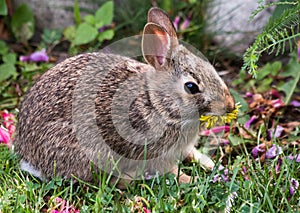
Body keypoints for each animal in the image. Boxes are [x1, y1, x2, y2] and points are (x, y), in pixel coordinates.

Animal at [14, 7, 236, 186]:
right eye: (191, 87)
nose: (230, 105)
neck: (156, 103)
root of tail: (28, 158)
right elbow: (171, 171)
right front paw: (191, 180)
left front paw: (211, 164)